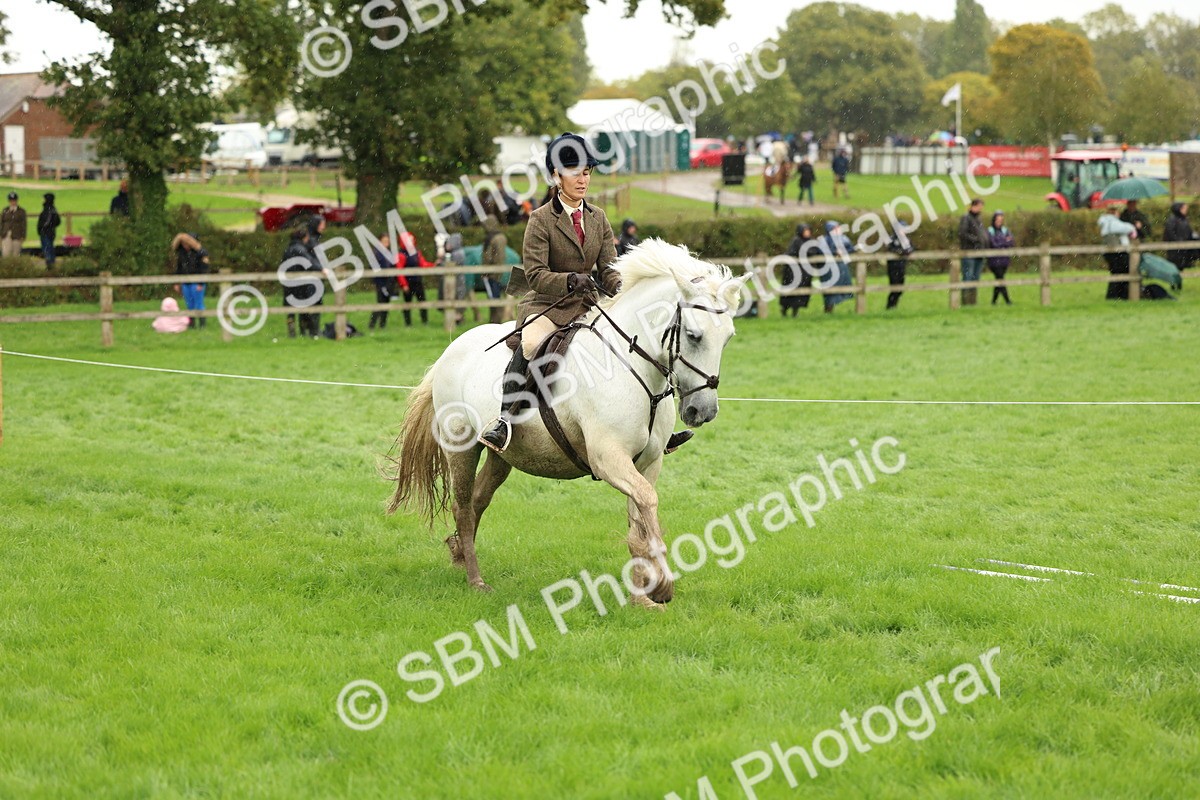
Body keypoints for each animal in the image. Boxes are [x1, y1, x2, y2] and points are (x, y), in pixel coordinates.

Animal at [387, 239, 746, 609]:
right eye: (693, 335)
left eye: (728, 338)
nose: (703, 411)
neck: (632, 366)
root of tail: (452, 349)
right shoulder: (609, 460)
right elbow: (647, 507)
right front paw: (662, 585)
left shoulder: (647, 463)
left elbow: (639, 521)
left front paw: (642, 599)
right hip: (461, 447)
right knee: (463, 507)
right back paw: (476, 580)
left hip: (503, 456)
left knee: (477, 500)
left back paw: (459, 552)